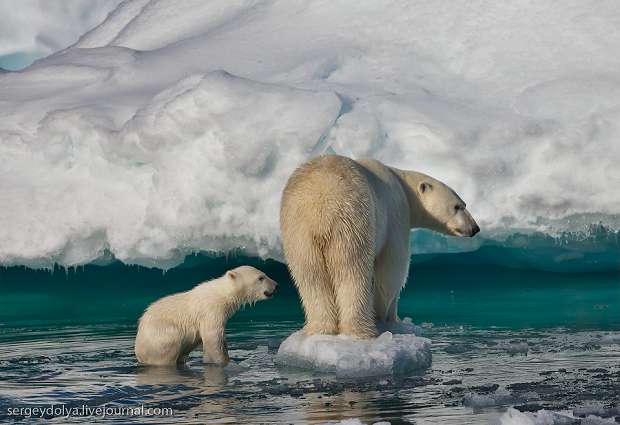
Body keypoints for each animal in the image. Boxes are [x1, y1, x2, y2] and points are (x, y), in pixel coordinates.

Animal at [280, 155, 480, 338]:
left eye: (463, 204)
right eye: (458, 206)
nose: (475, 228)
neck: (403, 184)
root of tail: (320, 210)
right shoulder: (396, 214)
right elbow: (392, 269)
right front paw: (389, 317)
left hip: (298, 234)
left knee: (310, 276)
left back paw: (320, 328)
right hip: (352, 222)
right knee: (352, 271)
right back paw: (361, 330)